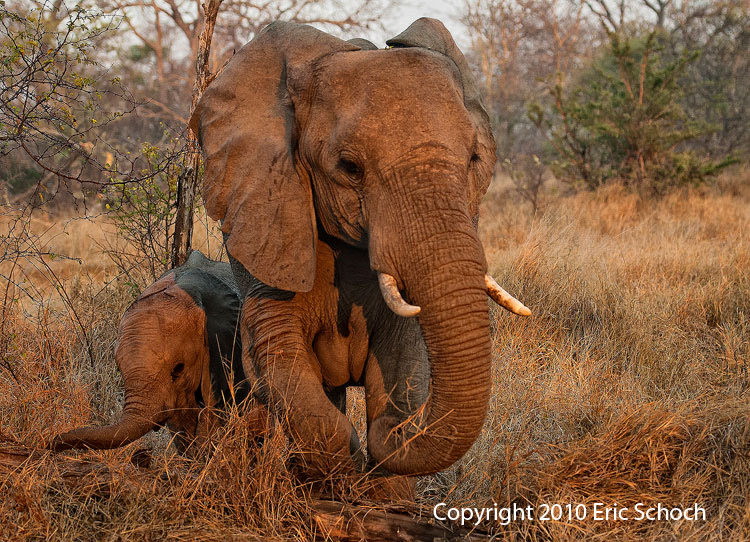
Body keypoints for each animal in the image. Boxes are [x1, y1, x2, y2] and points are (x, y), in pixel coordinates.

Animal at [189, 19, 528, 482]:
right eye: (349, 168)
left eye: (475, 159)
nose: (393, 434)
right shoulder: (264, 210)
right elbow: (277, 347)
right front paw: (338, 470)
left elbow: (403, 357)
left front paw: (381, 456)